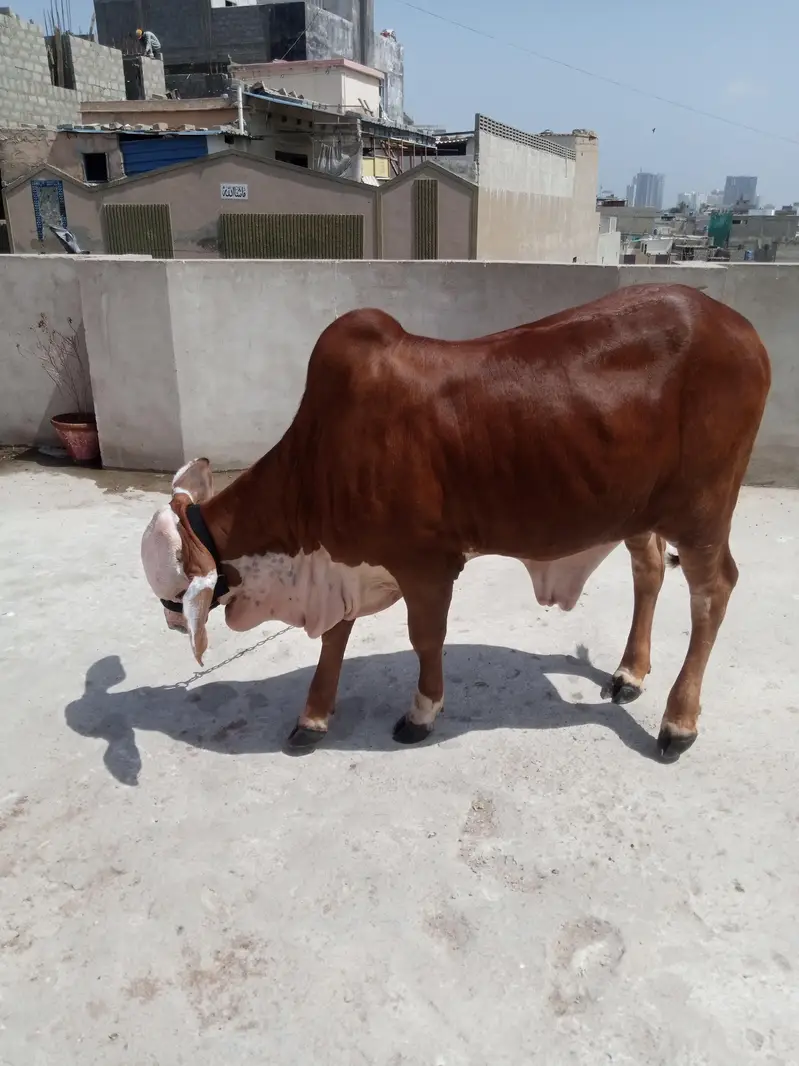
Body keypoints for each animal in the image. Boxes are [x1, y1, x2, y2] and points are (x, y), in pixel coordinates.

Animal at [140, 284, 770, 762]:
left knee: (713, 593)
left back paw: (678, 722)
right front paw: (314, 717)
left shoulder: (426, 563)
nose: (171, 625)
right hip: (636, 508)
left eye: (173, 595)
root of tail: (738, 325)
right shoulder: (348, 558)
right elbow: (336, 637)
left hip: (703, 510)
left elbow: (425, 637)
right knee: (650, 571)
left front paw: (421, 713)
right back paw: (630, 673)